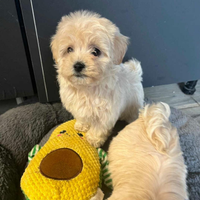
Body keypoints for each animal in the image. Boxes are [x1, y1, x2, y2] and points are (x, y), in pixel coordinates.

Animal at [50, 10, 143, 147]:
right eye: (69, 49)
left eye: (96, 51)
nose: (78, 65)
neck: (86, 88)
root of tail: (136, 71)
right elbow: (82, 116)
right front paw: (81, 125)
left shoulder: (106, 113)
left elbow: (99, 127)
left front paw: (93, 139)